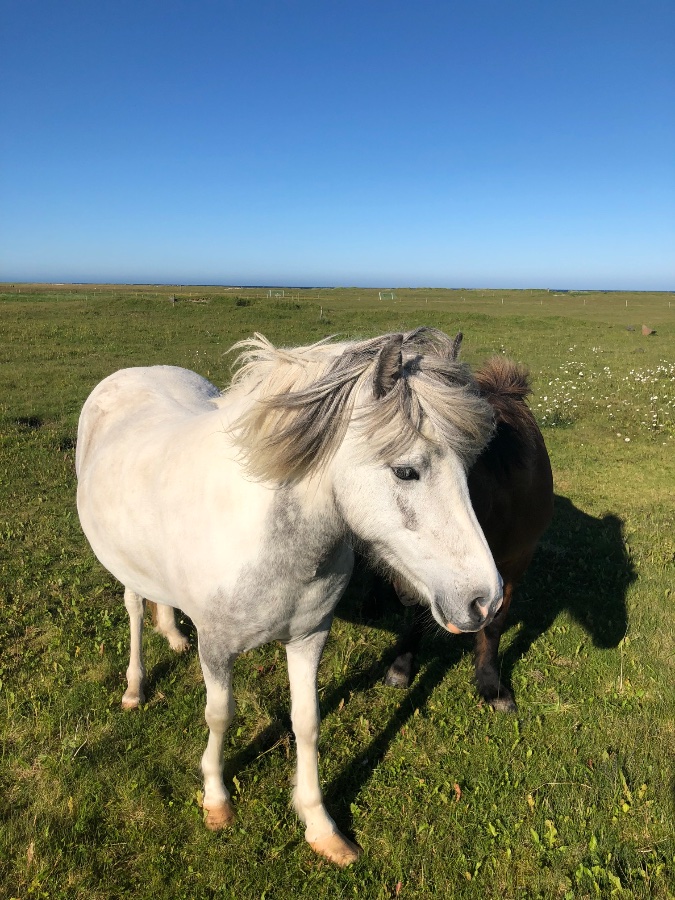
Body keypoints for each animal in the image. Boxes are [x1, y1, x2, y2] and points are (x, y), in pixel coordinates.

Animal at [75, 327, 503, 866]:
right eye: (406, 471)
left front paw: (320, 825)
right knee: (133, 608)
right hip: (122, 564)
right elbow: (220, 716)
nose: (485, 601)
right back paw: (135, 687)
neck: (268, 540)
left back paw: (172, 635)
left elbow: (307, 722)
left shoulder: (308, 638)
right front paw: (216, 799)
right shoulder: (217, 649)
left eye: (468, 468)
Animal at [384, 347, 554, 713]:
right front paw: (402, 667)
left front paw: (491, 686)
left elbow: (494, 626)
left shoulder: (511, 568)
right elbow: (419, 614)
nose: (401, 590)